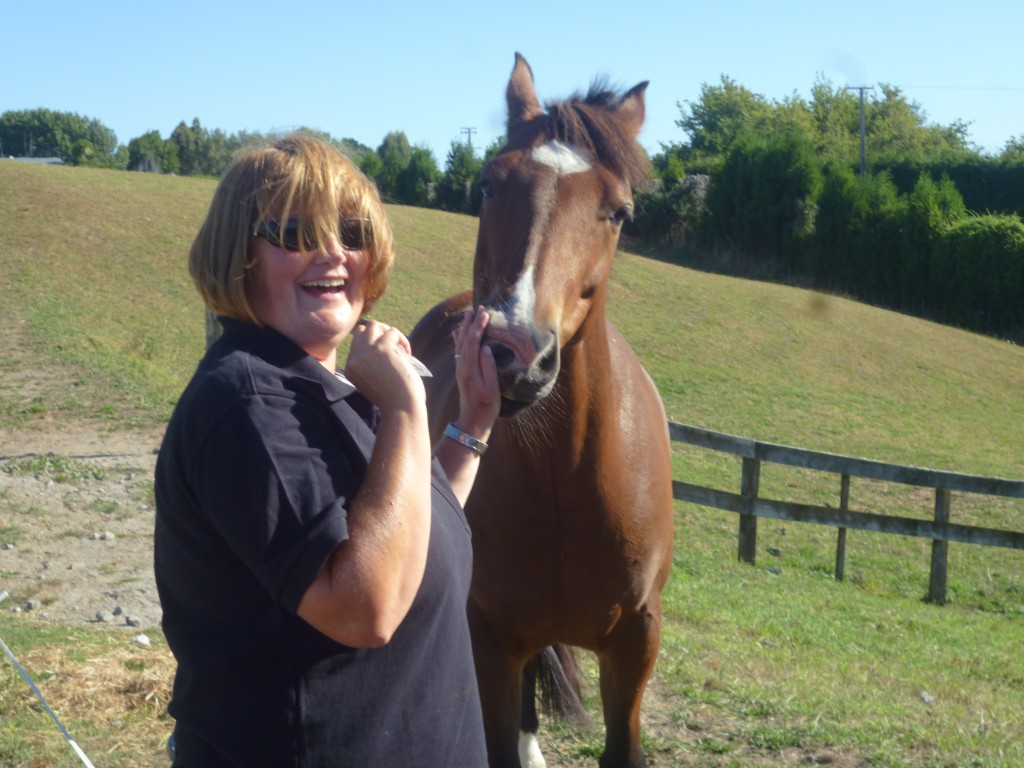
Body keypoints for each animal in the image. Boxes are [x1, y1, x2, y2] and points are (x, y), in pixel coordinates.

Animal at [411, 51, 675, 765]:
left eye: (619, 212)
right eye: (486, 185)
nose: (514, 351)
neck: (570, 479)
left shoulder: (636, 643)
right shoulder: (490, 638)